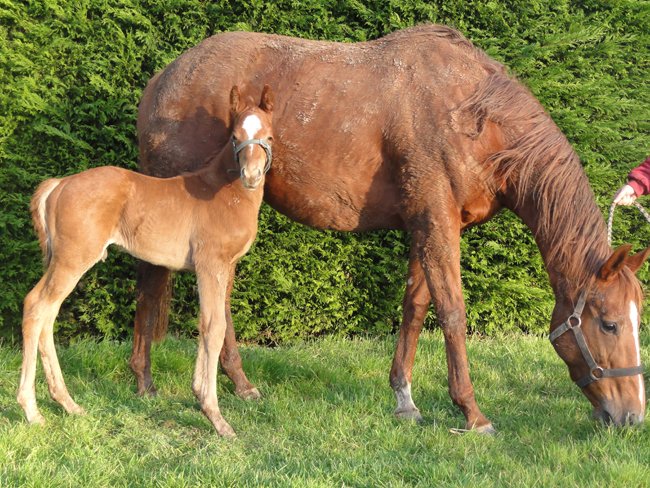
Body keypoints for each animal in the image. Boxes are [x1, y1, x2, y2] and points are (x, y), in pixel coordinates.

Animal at [17, 85, 275, 436]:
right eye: (235, 136)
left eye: (269, 136)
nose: (251, 176)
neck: (223, 193)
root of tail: (60, 184)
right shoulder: (210, 264)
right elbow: (214, 326)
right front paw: (216, 417)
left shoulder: (223, 267)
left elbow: (211, 322)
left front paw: (205, 399)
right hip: (73, 258)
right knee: (36, 307)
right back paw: (32, 411)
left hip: (61, 260)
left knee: (49, 313)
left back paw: (67, 403)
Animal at [133, 25, 649, 432]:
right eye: (609, 323)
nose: (631, 417)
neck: (472, 116)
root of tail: (163, 79)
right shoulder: (437, 222)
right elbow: (452, 310)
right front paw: (471, 412)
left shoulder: (428, 223)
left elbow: (416, 306)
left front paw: (404, 399)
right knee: (152, 283)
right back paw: (144, 381)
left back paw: (241, 385)